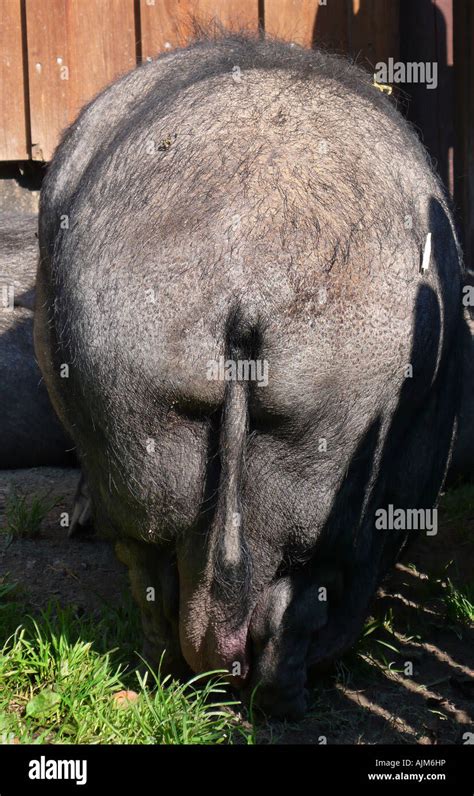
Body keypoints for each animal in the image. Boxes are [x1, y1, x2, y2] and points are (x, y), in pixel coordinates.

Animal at [35, 34, 464, 720]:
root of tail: (246, 281)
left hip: (134, 396)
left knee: (158, 565)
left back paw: (177, 676)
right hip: (331, 423)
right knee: (295, 597)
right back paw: (283, 700)